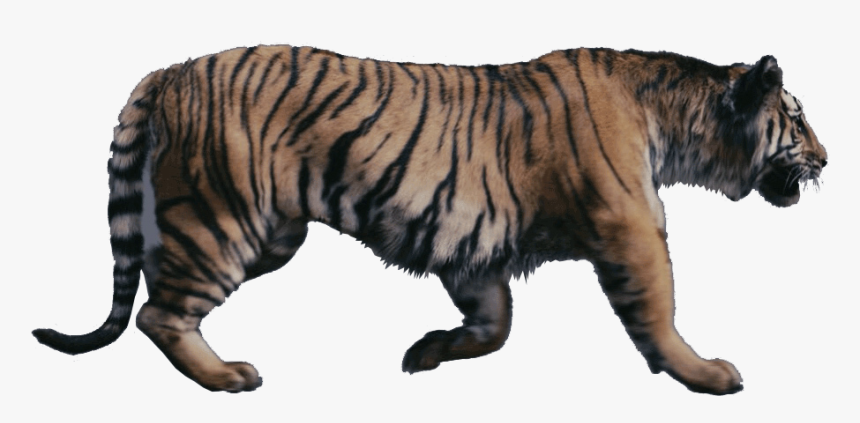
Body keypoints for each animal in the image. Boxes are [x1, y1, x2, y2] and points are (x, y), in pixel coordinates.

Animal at [32, 45, 826, 395]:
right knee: (157, 313)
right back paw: (228, 376)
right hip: (220, 219)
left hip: (270, 234)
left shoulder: (473, 248)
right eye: (796, 120)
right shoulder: (631, 226)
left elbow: (495, 324)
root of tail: (169, 69)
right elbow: (658, 310)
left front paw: (429, 352)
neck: (679, 122)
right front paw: (707, 373)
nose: (826, 158)